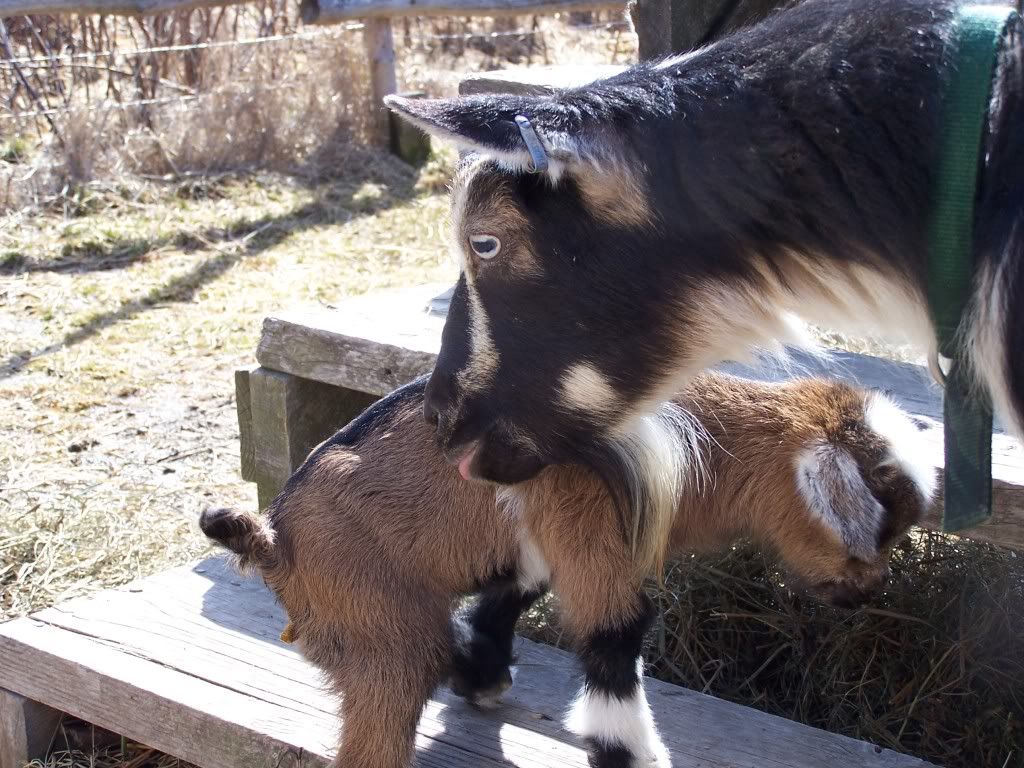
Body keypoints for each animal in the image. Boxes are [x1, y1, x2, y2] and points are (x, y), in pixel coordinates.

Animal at [201, 372, 934, 768]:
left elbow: (509, 597)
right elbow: (614, 638)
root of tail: (274, 538)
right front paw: (634, 755)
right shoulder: (583, 519)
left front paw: (484, 677)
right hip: (380, 632)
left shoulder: (536, 540)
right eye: (880, 531)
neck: (700, 441)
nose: (872, 592)